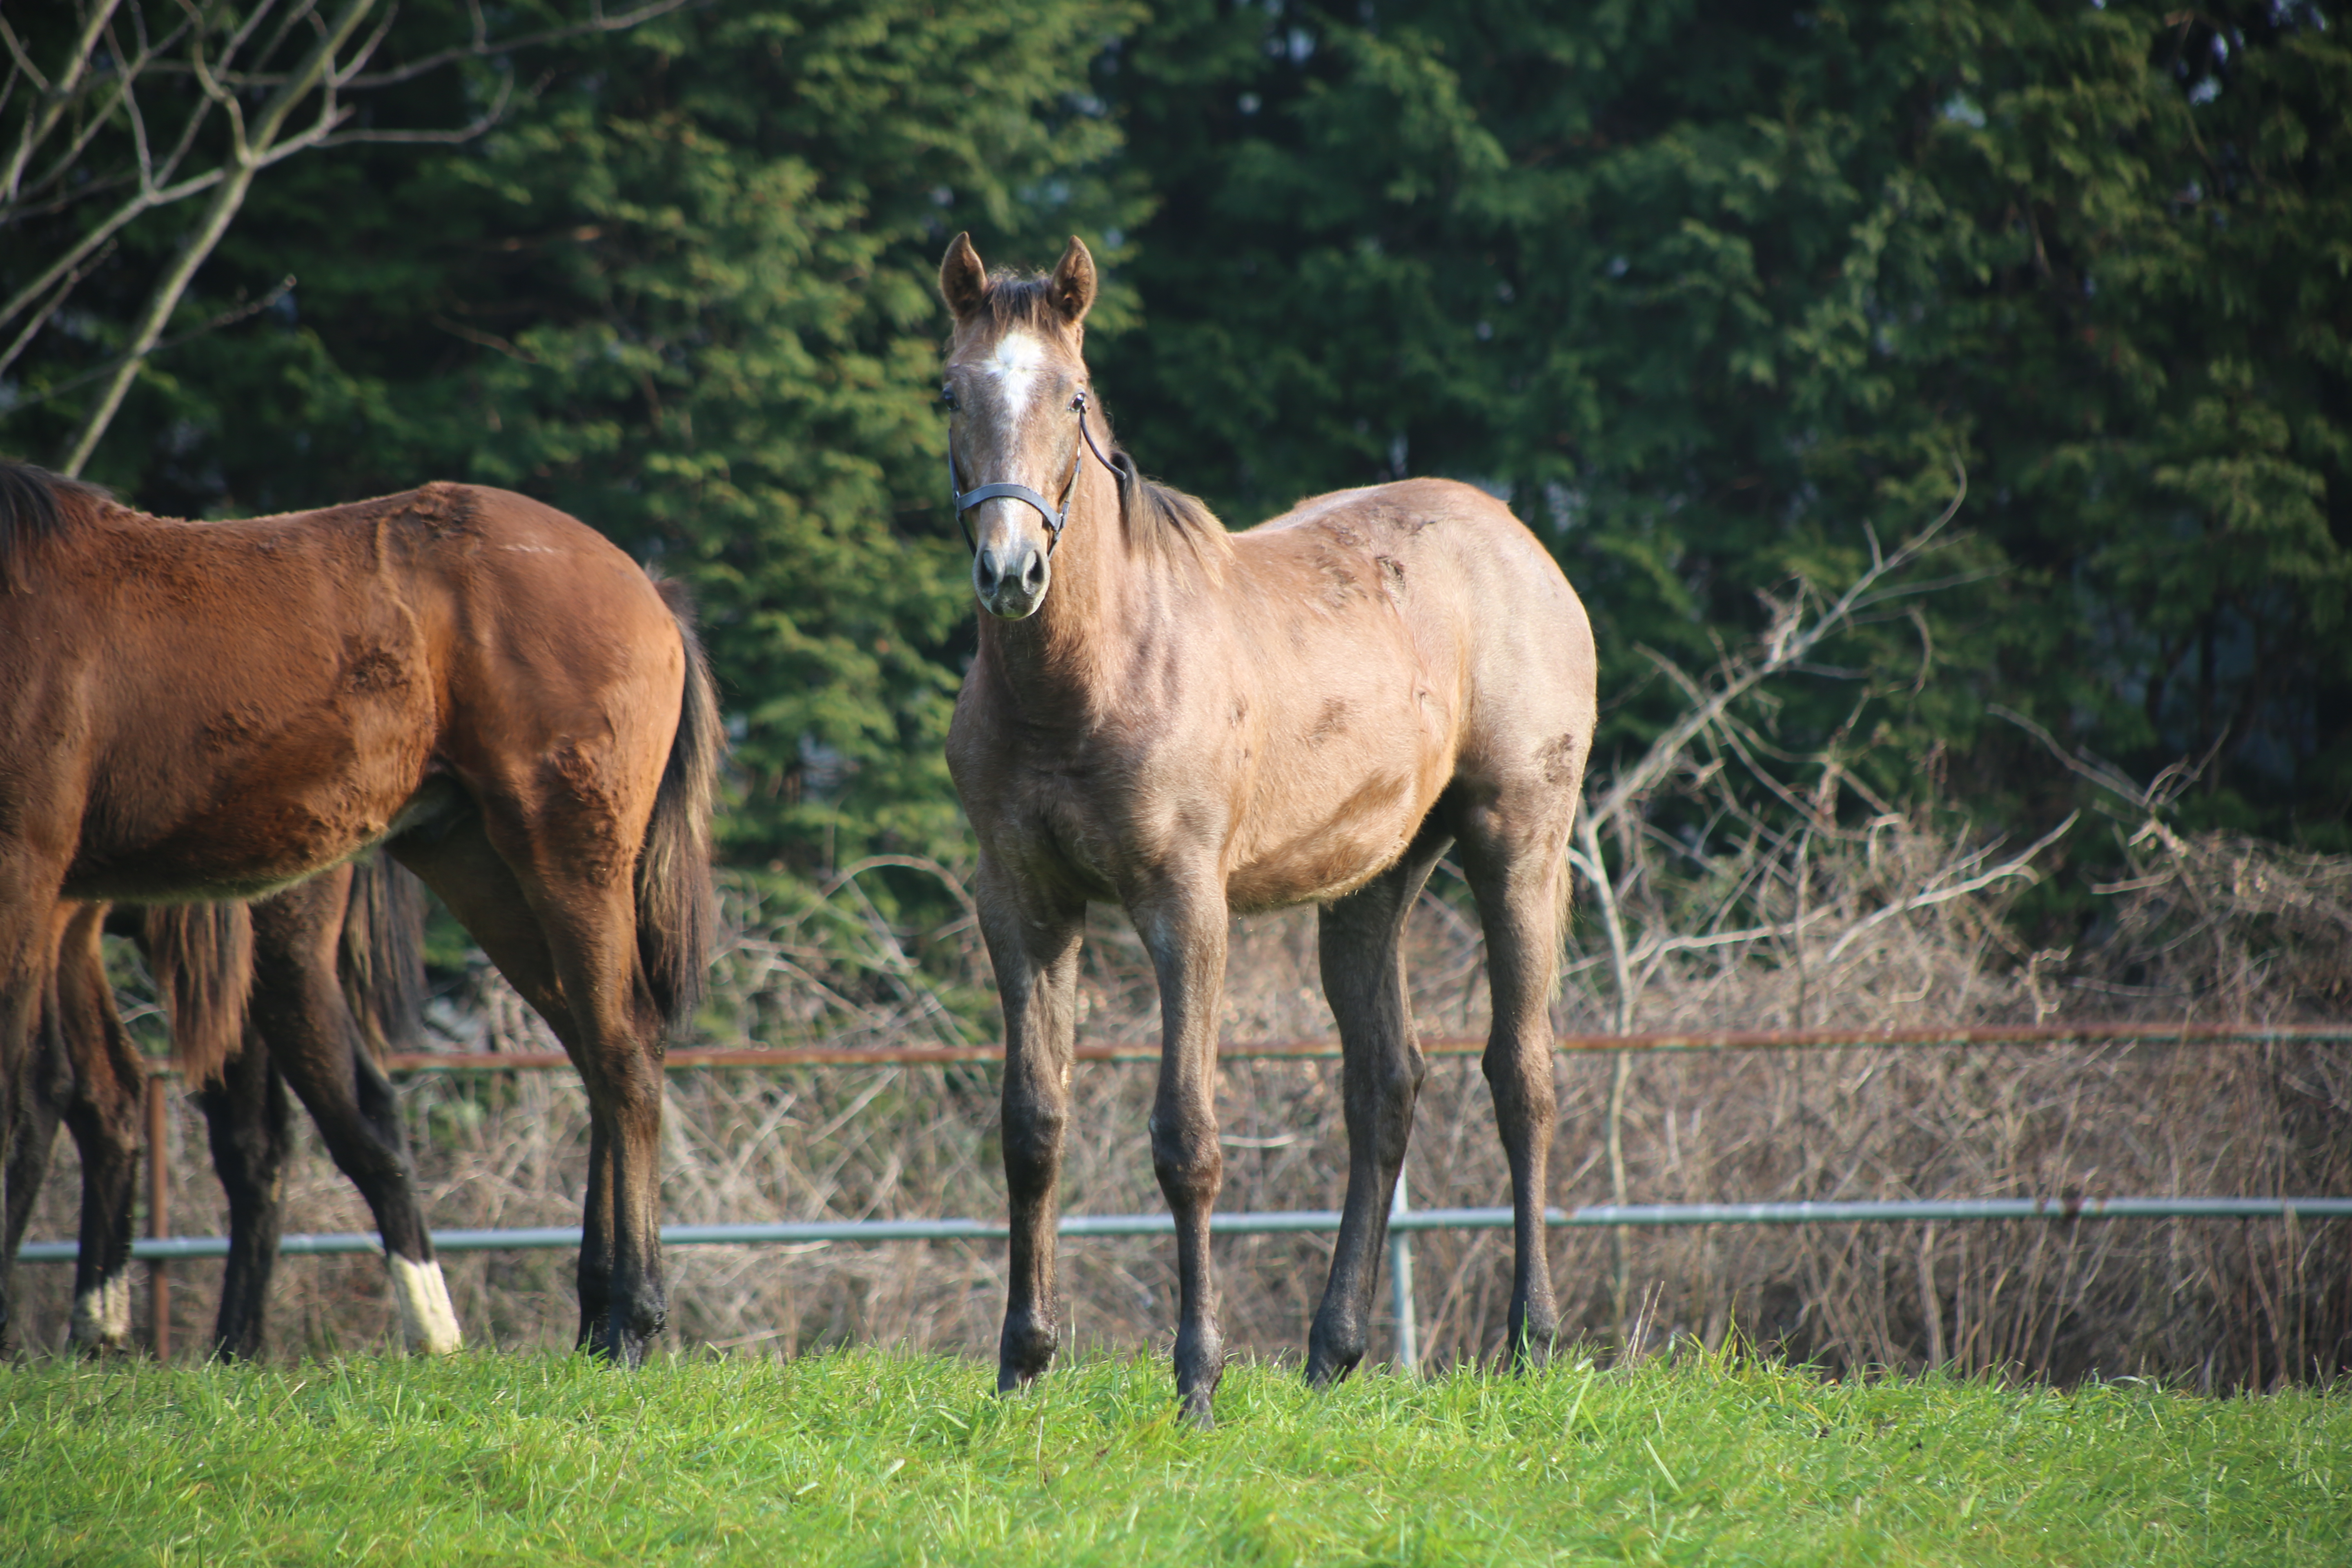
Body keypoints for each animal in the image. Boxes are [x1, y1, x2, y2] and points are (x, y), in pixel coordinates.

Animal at [3, 860, 459, 1363]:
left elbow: (38, 1090)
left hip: (282, 955)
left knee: (361, 1122)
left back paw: (433, 1333)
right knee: (228, 1133)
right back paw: (220, 1347)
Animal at [936, 232, 1599, 1420]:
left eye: (1074, 395)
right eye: (950, 392)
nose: (1011, 572)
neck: (1085, 678)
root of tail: (1520, 541)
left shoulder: (1184, 902)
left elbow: (1186, 1138)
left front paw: (1197, 1377)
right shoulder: (1020, 902)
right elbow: (1031, 1127)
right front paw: (1021, 1363)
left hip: (1517, 842)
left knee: (1521, 1076)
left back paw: (1532, 1341)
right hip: (1372, 885)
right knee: (1383, 1088)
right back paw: (1330, 1351)